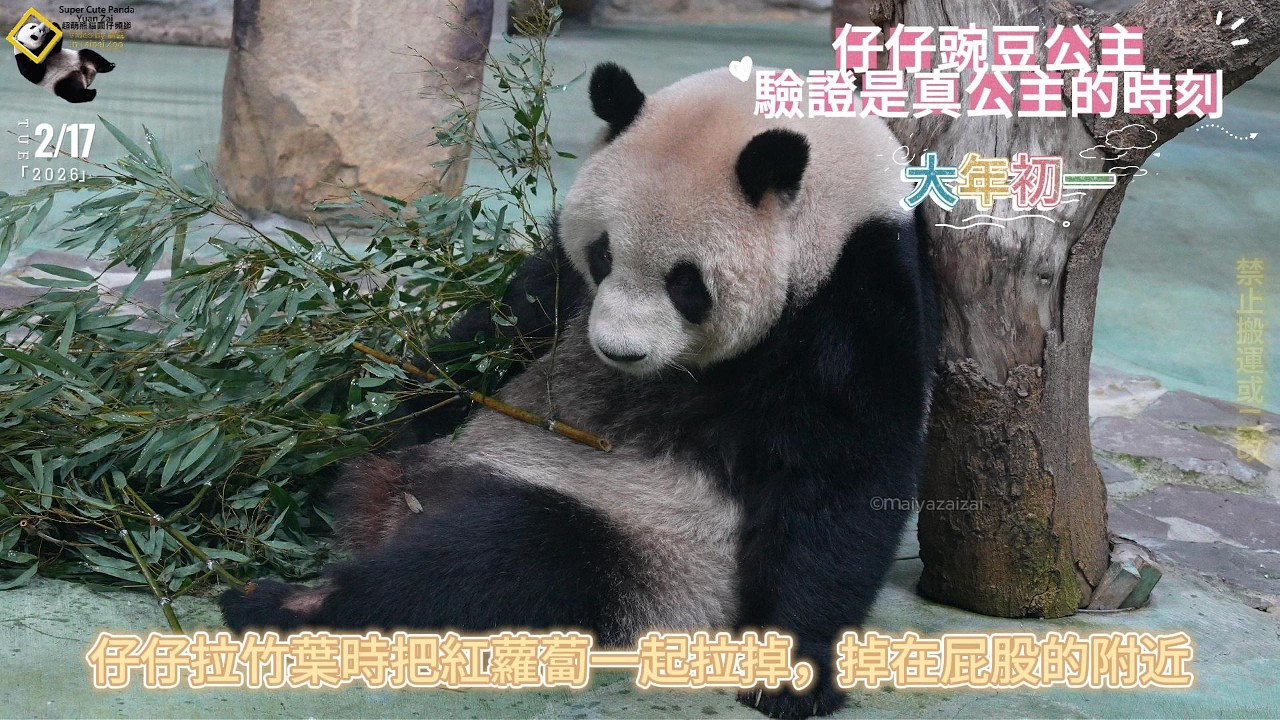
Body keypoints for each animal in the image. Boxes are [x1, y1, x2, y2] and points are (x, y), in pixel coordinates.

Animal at [220, 63, 937, 718]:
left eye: (687, 283)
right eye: (604, 254)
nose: (618, 351)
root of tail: (398, 502)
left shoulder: (854, 297)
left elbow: (842, 478)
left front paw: (789, 680)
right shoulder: (563, 288)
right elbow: (502, 331)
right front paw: (406, 402)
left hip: (650, 544)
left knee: (503, 566)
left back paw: (287, 605)